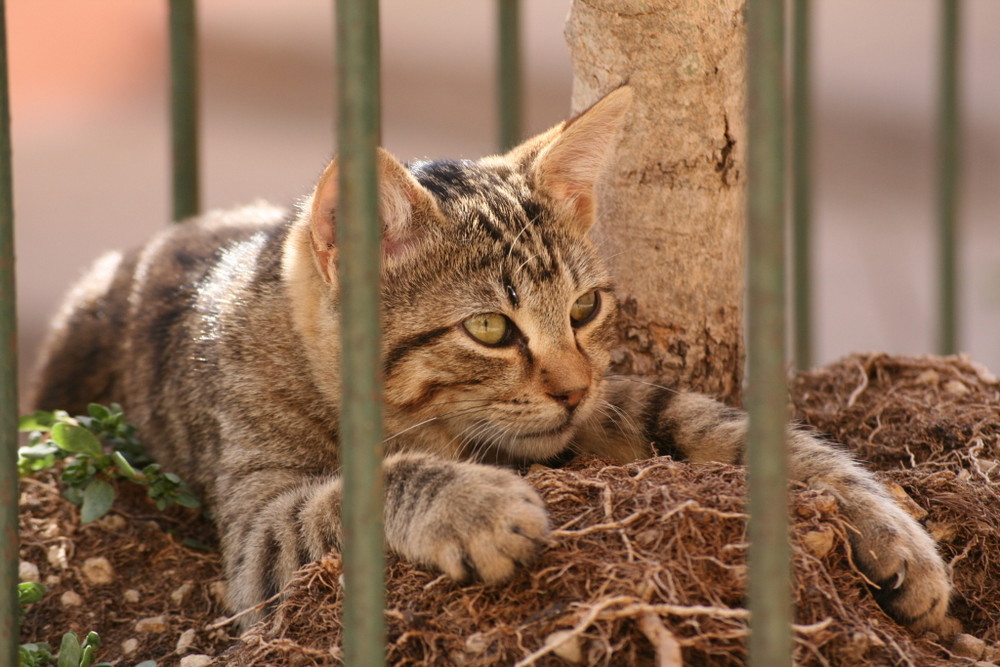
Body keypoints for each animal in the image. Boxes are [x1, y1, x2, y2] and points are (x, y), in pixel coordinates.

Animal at [29, 86, 952, 636]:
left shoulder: (619, 393)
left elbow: (726, 424)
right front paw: (473, 503)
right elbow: (357, 488)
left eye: (583, 309)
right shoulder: (260, 535)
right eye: (489, 329)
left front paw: (884, 523)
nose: (572, 389)